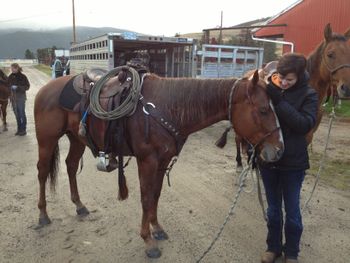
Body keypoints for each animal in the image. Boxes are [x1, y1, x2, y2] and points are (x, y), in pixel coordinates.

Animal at [34, 69, 284, 258]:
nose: (279, 150)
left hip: (77, 139)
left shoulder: (162, 161)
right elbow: (146, 197)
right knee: (42, 172)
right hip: (47, 140)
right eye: (263, 110)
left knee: (70, 166)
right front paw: (148, 241)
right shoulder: (147, 161)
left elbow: (156, 194)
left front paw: (157, 228)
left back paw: (79, 205)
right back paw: (43, 215)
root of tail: (46, 89)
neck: (165, 106)